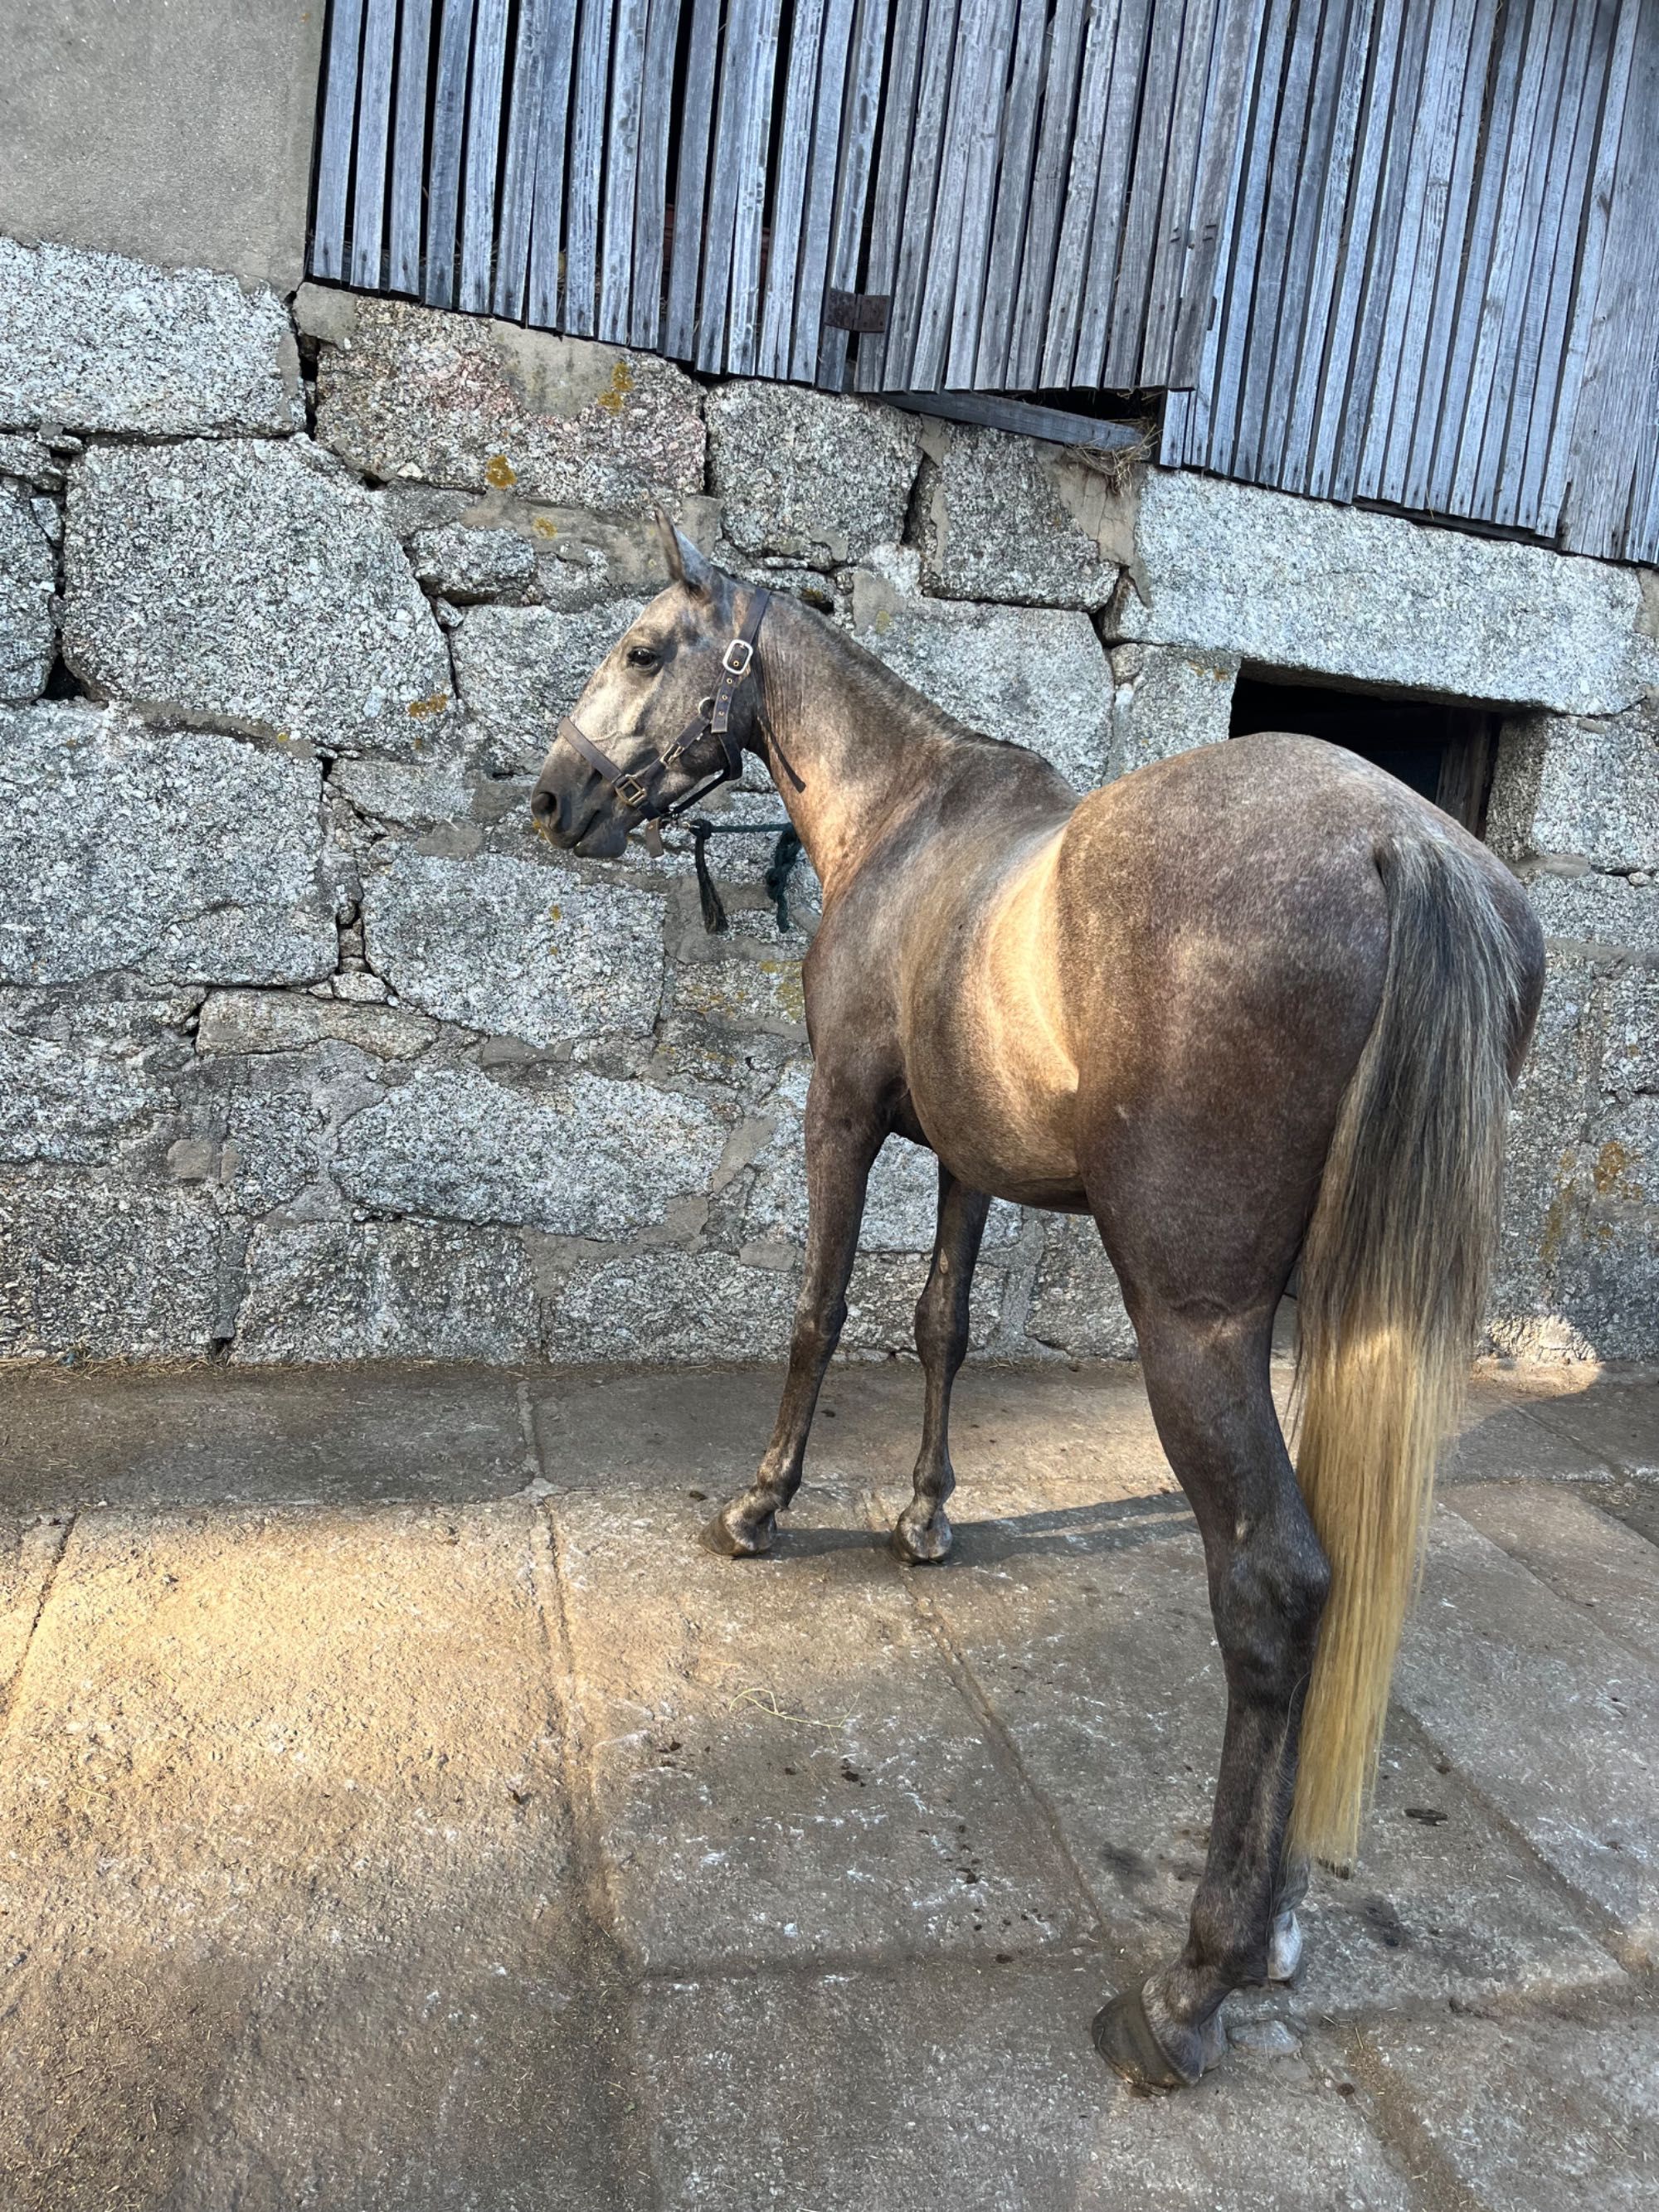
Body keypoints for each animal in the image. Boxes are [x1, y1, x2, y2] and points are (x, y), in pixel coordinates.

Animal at [528, 522, 1548, 2088]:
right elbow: (941, 1323)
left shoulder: (841, 1121)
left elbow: (822, 1309)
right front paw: (925, 1514)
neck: (905, 822)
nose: (553, 795)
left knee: (1277, 1585)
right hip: (1345, 1325)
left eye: (644, 648)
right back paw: (1281, 1923)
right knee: (1338, 1572)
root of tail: (1410, 845)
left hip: (1196, 1330)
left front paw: (762, 1504)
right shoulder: (967, 1159)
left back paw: (1194, 1984)